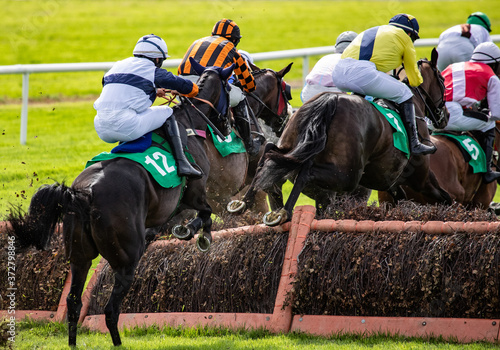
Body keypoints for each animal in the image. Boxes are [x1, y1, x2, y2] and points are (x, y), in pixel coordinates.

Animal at [7, 58, 234, 346]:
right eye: (230, 88)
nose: (227, 125)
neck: (189, 125)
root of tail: (84, 193)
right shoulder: (194, 190)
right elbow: (205, 213)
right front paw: (200, 235)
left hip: (79, 256)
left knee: (74, 302)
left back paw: (73, 343)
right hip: (126, 260)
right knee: (110, 309)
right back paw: (117, 342)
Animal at [229, 47, 452, 226]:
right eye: (443, 80)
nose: (445, 116)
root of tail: (330, 100)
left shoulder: (390, 182)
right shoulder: (422, 179)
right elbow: (446, 198)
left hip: (296, 146)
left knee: (272, 154)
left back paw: (244, 203)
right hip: (347, 177)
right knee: (305, 169)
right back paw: (283, 213)